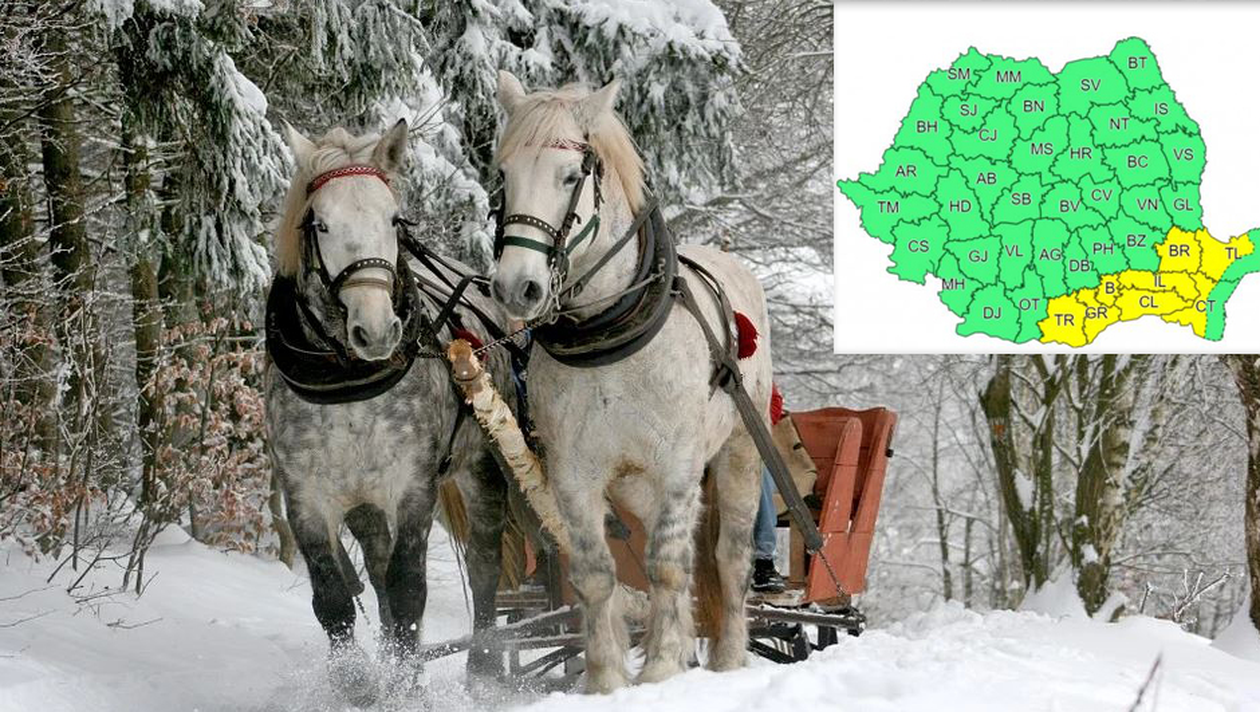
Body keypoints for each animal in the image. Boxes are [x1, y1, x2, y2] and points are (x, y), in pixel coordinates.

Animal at [263, 121, 515, 705]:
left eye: (394, 219)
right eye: (321, 223)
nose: (376, 330)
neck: (348, 383)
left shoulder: (413, 486)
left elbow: (408, 590)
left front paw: (407, 688)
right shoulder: (306, 496)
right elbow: (334, 598)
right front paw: (359, 684)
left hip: (481, 468)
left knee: (485, 563)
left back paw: (484, 668)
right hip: (364, 503)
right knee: (375, 572)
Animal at [488, 71, 773, 692]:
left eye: (571, 176)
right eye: (503, 175)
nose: (517, 288)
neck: (609, 336)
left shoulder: (678, 467)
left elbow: (667, 565)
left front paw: (662, 667)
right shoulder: (574, 474)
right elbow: (597, 573)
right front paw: (606, 679)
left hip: (740, 450)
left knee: (728, 556)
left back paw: (728, 657)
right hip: (634, 485)